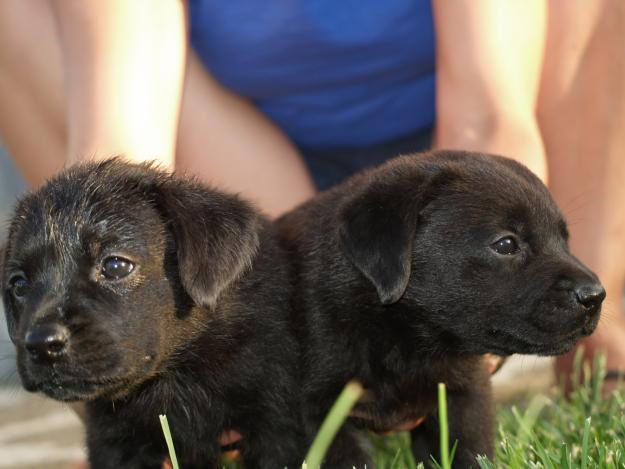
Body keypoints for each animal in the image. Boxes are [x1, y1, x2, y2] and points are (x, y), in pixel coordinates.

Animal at [2, 159, 304, 466]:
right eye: (19, 285)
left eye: (115, 266)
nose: (42, 344)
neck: (171, 378)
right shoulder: (114, 444)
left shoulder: (274, 425)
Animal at [278, 152, 604, 466]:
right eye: (506, 244)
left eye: (564, 240)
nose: (596, 295)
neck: (405, 337)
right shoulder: (321, 409)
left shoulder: (465, 393)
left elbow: (470, 451)